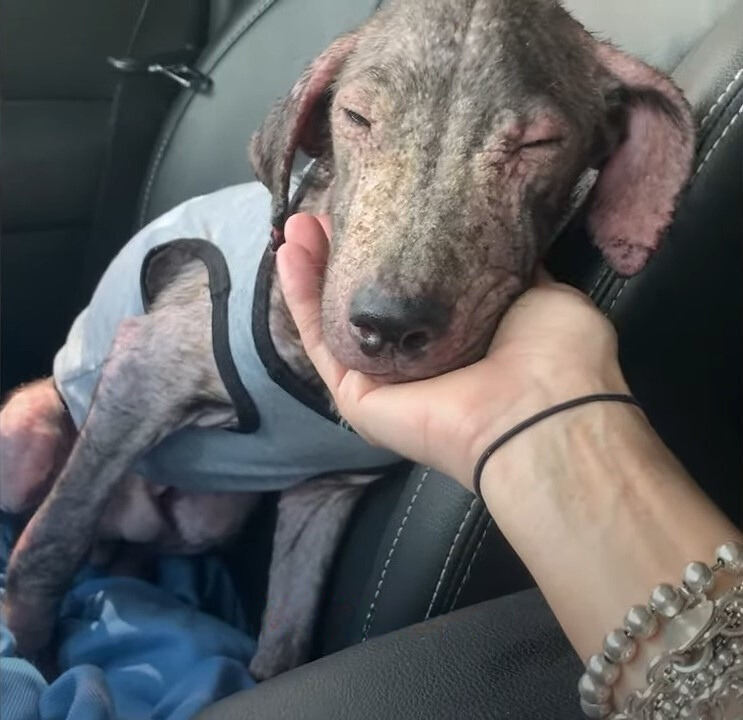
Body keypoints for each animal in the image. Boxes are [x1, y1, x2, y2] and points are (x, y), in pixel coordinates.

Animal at [1, 0, 696, 680]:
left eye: (540, 143)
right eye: (357, 117)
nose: (386, 324)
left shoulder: (324, 494)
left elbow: (285, 642)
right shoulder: (144, 373)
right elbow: (50, 543)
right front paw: (37, 659)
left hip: (203, 520)